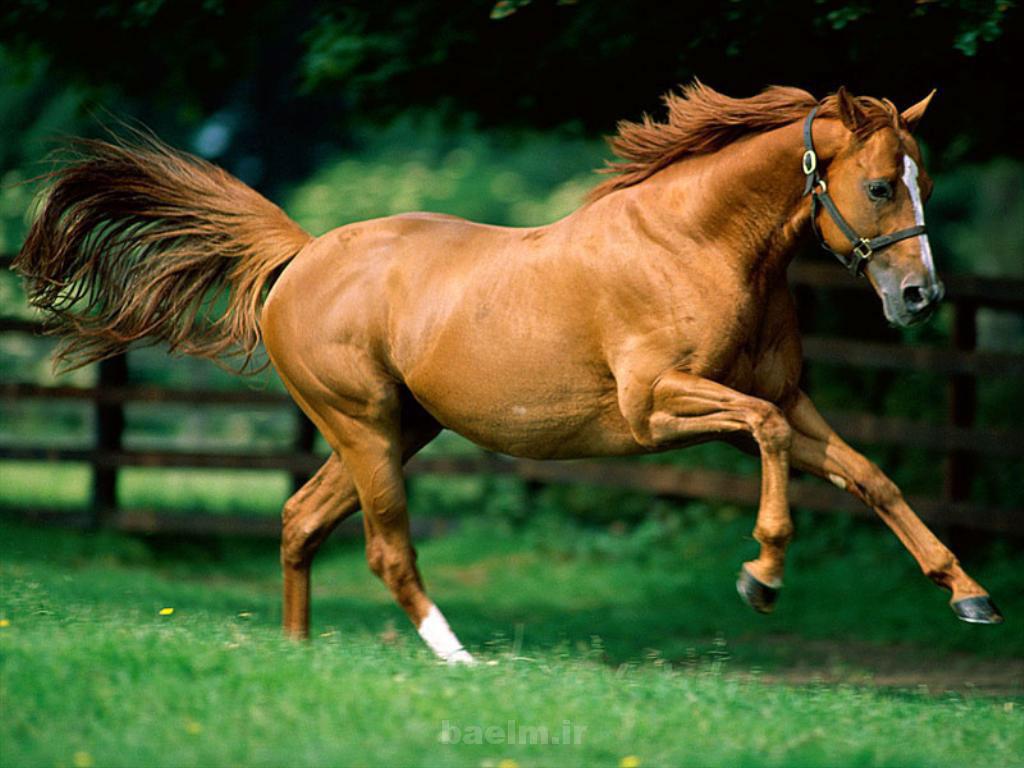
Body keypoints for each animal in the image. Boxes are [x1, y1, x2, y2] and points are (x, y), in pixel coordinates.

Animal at [14, 83, 1003, 665]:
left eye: (924, 179)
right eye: (880, 186)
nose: (920, 297)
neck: (695, 245)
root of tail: (301, 256)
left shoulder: (788, 398)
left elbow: (872, 477)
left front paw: (970, 597)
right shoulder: (659, 410)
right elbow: (765, 442)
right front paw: (760, 576)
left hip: (400, 428)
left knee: (299, 520)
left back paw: (298, 655)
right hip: (365, 427)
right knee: (385, 547)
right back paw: (459, 660)